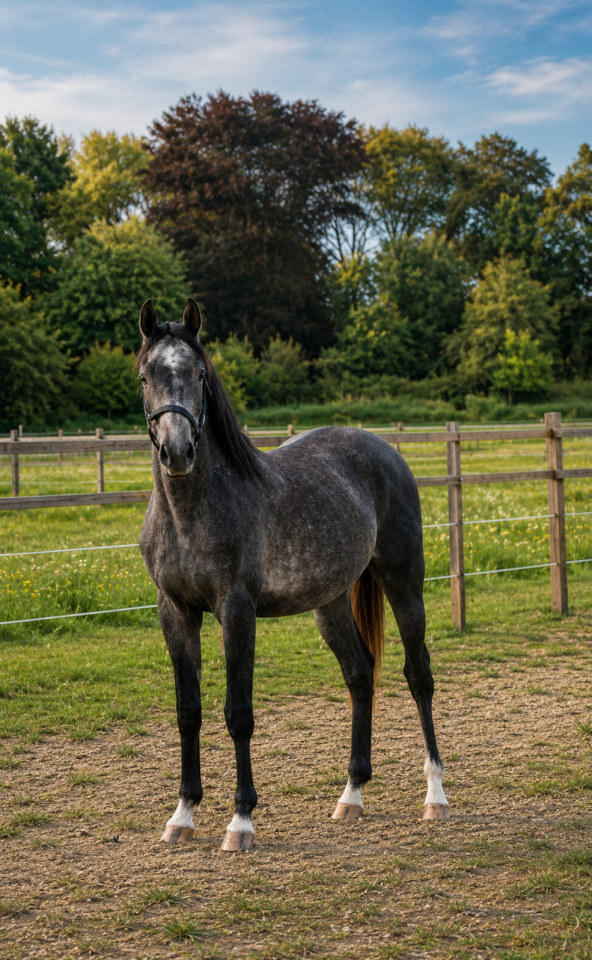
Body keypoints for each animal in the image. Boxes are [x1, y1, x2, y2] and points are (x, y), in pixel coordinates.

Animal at [137, 298, 449, 851]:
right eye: (146, 375)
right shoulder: (175, 611)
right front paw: (183, 813)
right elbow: (187, 711)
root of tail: (384, 450)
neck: (188, 514)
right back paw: (352, 793)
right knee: (360, 674)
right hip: (330, 603)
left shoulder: (237, 611)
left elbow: (238, 713)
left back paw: (435, 794)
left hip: (403, 584)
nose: (177, 452)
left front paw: (240, 820)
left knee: (419, 676)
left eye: (199, 373)